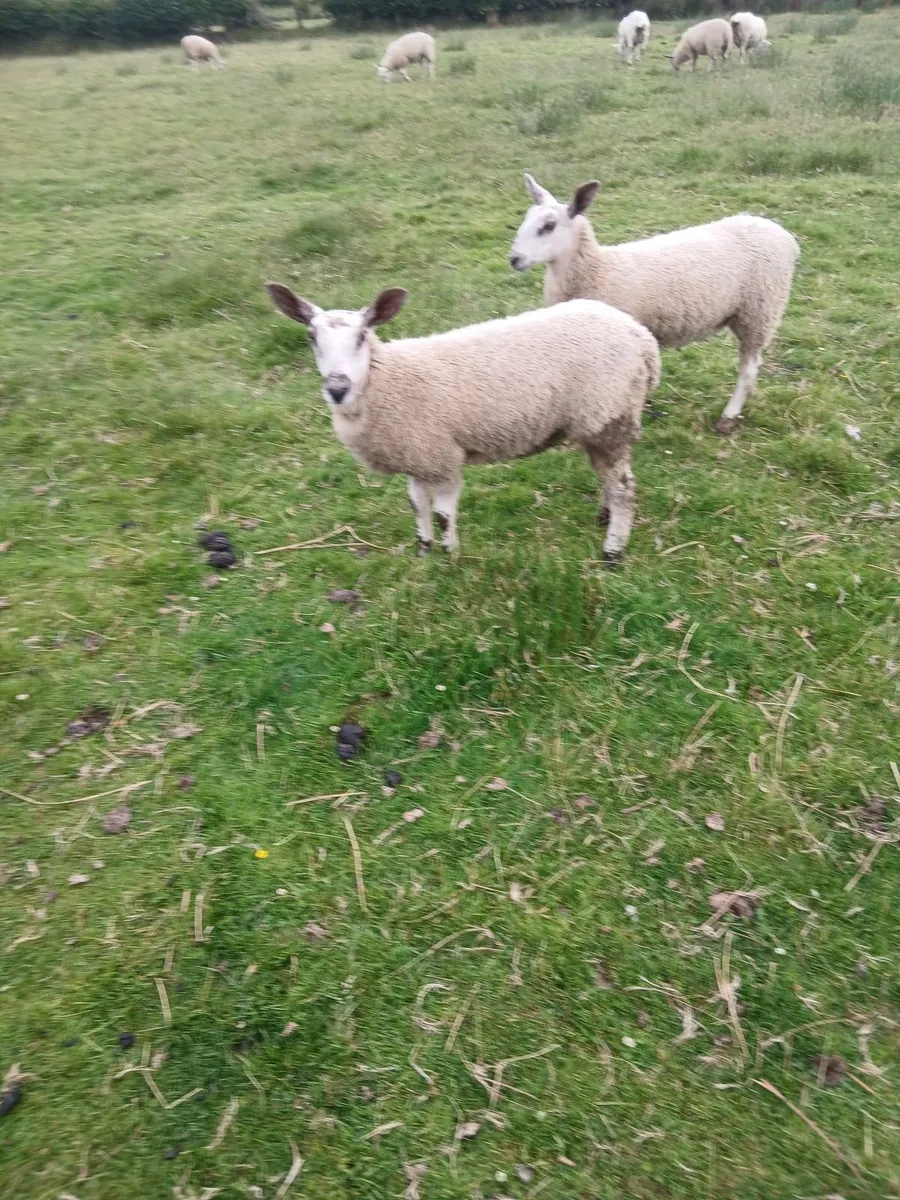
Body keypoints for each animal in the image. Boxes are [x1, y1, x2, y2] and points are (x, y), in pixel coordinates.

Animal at [264, 282, 661, 563]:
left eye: (362, 336)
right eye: (311, 337)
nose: (337, 388)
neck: (387, 380)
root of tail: (641, 338)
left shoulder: (442, 457)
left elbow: (442, 513)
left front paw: (450, 554)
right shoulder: (416, 455)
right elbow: (417, 505)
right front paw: (423, 549)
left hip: (609, 415)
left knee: (624, 487)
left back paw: (613, 550)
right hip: (601, 420)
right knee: (611, 478)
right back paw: (603, 518)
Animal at [509, 174, 799, 435]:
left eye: (548, 226)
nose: (514, 259)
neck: (599, 269)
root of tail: (782, 234)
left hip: (760, 310)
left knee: (748, 367)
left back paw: (729, 416)